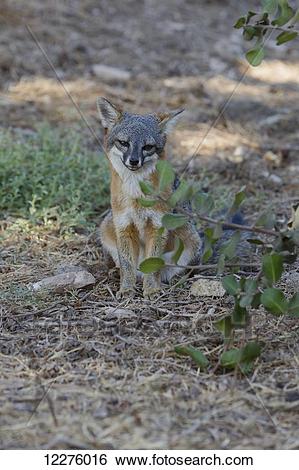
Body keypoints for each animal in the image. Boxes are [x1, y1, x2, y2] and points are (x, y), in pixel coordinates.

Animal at [97, 97, 203, 300]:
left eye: (147, 147)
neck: (136, 194)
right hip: (107, 225)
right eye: (124, 143)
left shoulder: (158, 226)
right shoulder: (123, 226)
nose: (133, 161)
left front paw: (152, 289)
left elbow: (153, 264)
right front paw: (126, 289)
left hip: (189, 236)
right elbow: (127, 264)